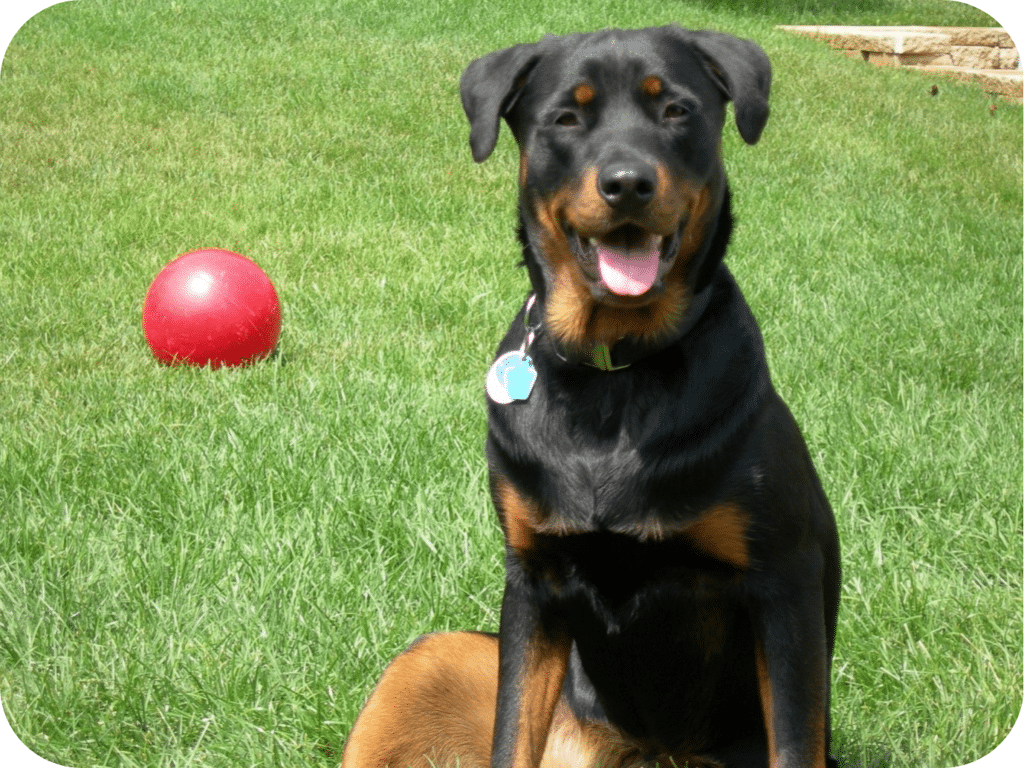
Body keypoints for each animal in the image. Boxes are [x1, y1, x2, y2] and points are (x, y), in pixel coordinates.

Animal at [342, 24, 839, 768]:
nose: (628, 184)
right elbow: (510, 735)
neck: (616, 373)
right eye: (566, 119)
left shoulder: (784, 584)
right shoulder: (533, 579)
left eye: (676, 110)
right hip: (434, 657)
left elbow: (795, 741)